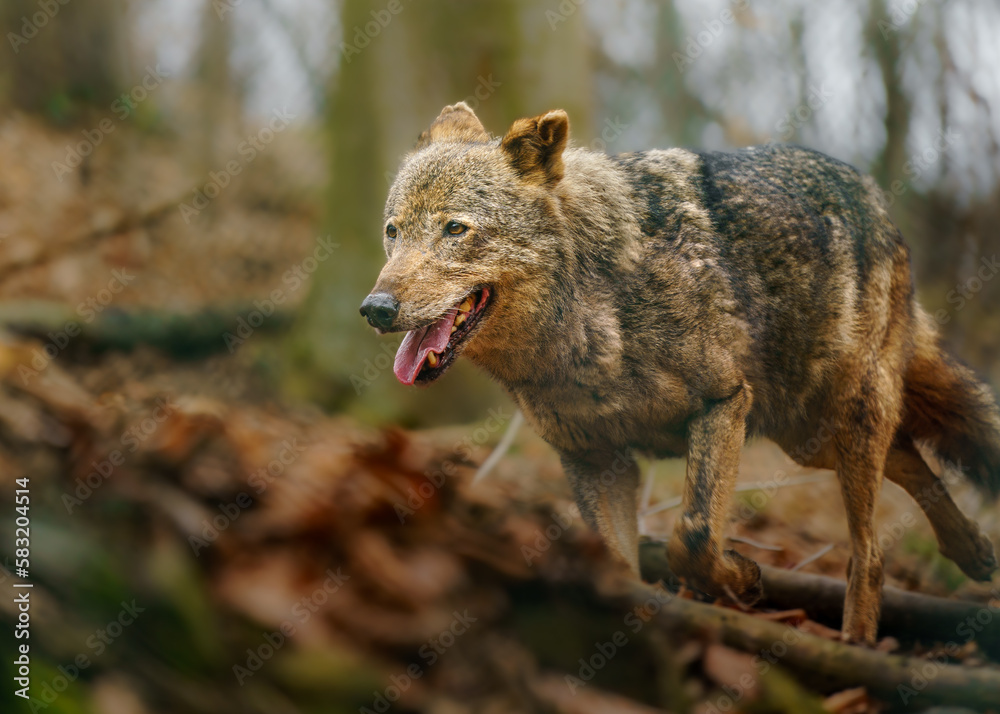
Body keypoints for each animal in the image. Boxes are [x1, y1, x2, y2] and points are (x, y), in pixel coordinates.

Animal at [360, 102, 1000, 644]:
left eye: (455, 229)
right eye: (392, 231)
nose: (376, 309)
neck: (595, 314)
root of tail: (869, 191)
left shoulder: (722, 404)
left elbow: (691, 537)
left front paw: (742, 580)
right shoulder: (594, 458)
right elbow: (618, 567)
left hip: (839, 418)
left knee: (869, 551)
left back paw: (861, 641)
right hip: (806, 437)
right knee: (912, 457)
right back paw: (973, 550)